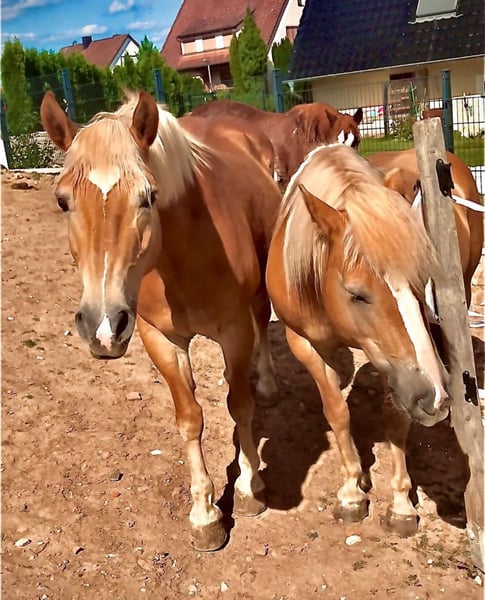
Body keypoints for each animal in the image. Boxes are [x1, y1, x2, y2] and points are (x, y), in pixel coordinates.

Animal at [40, 90, 283, 552]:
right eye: (63, 201)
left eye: (148, 196)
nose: (102, 326)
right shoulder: (160, 339)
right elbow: (190, 419)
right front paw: (205, 515)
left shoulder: (234, 330)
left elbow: (240, 405)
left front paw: (248, 487)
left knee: (261, 324)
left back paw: (264, 379)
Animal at [266, 143, 450, 536]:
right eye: (357, 294)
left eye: (421, 278)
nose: (436, 396)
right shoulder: (303, 344)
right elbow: (337, 411)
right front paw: (352, 490)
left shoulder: (391, 365)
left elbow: (394, 417)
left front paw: (400, 504)